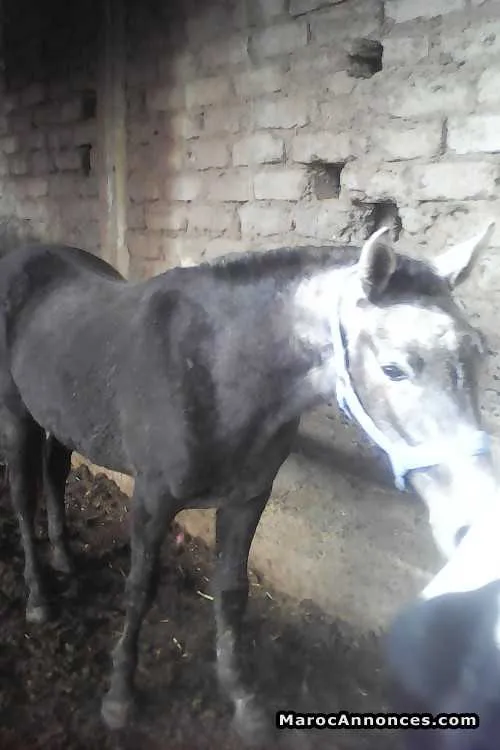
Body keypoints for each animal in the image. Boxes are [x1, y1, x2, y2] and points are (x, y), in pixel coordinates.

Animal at [0, 222, 496, 744]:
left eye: (478, 353)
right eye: (393, 368)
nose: (474, 519)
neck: (214, 371)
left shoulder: (248, 499)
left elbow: (232, 592)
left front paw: (242, 697)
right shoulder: (151, 500)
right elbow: (139, 589)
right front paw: (120, 696)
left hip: (59, 419)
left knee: (54, 477)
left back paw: (65, 559)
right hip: (17, 417)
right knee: (23, 498)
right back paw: (39, 597)